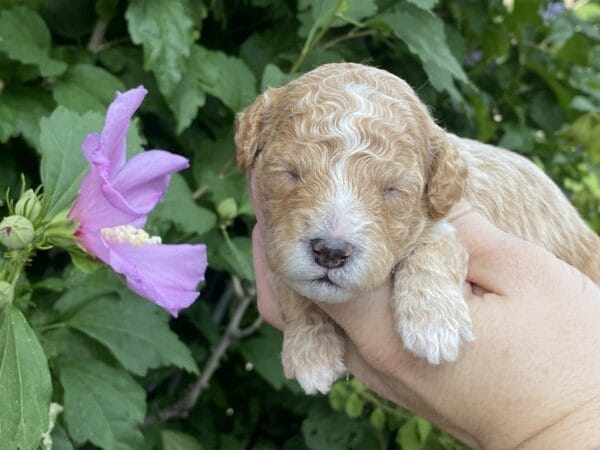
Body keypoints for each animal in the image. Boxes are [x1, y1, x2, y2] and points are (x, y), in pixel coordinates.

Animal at [234, 62, 600, 394]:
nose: (331, 252)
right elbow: (291, 288)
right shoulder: (271, 239)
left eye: (392, 189)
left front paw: (434, 321)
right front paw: (309, 351)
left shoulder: (451, 218)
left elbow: (436, 243)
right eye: (290, 173)